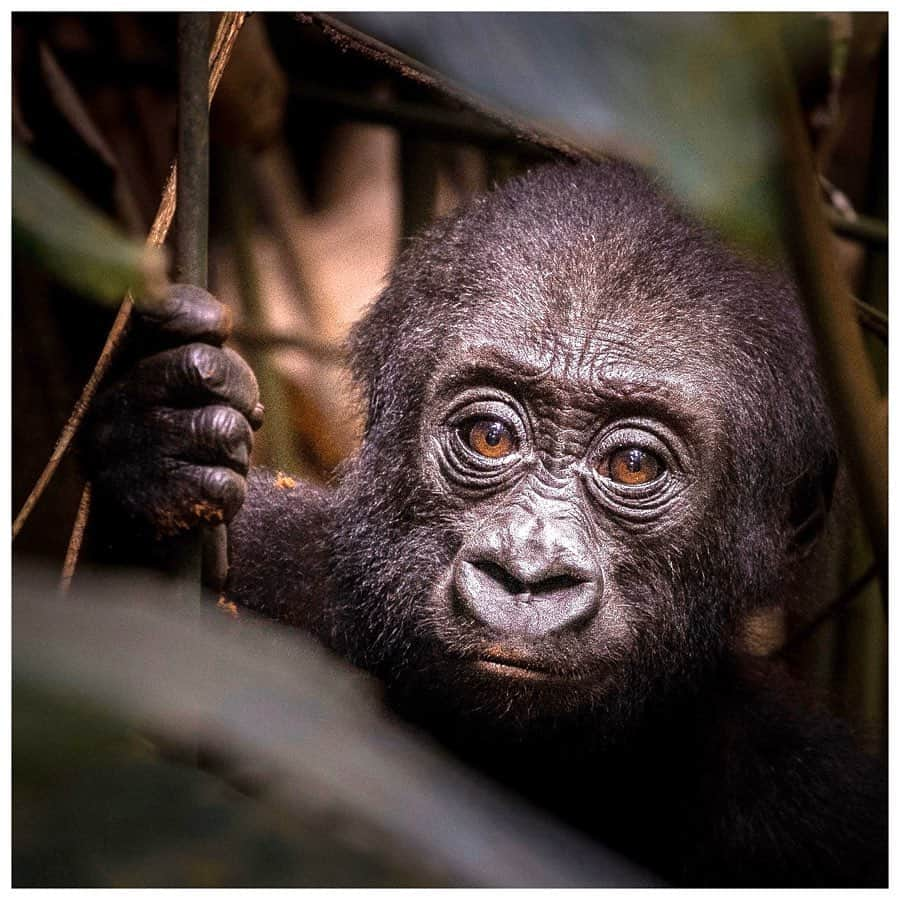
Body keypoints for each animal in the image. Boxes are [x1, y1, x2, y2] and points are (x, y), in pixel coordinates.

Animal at [88, 156, 888, 884]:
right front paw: (154, 448)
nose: (527, 573)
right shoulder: (272, 555)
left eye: (632, 464)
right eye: (491, 437)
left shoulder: (813, 802)